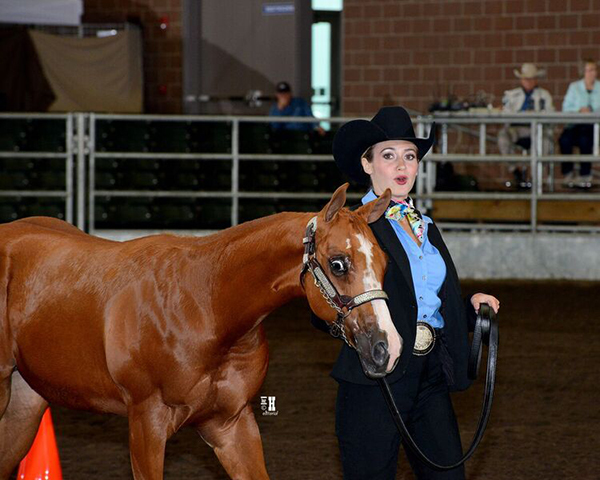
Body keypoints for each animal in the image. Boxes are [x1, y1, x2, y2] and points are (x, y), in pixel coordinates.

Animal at [0, 185, 404, 480]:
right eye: (338, 263)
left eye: (385, 262)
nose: (387, 348)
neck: (206, 306)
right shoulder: (145, 424)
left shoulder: (231, 424)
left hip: (25, 402)